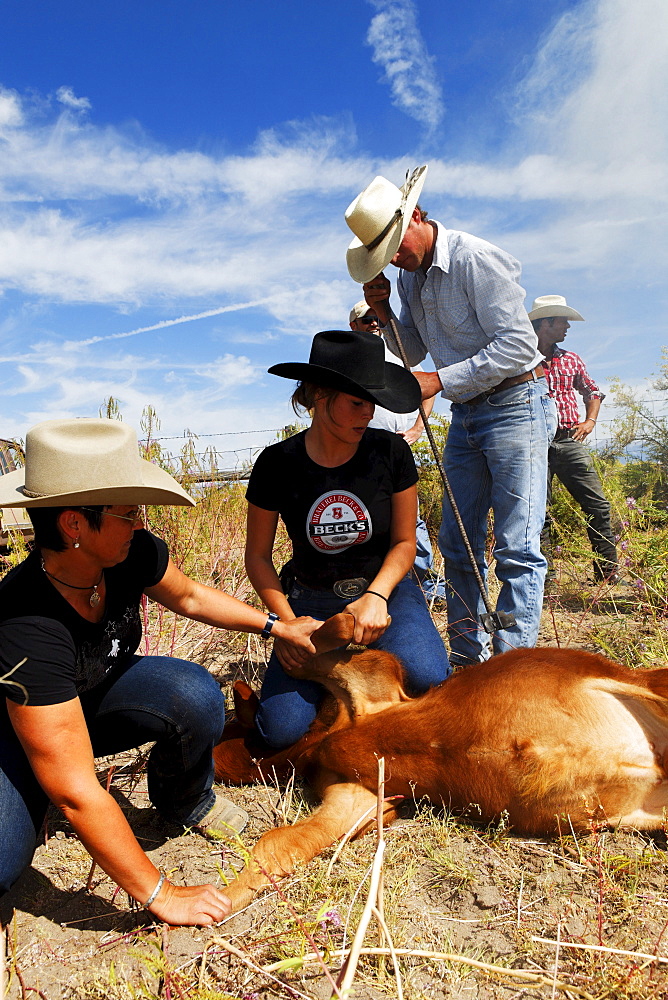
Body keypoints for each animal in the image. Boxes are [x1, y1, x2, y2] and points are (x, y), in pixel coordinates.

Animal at [215, 612, 668, 912]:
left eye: (225, 725)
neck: (318, 742)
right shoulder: (360, 799)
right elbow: (280, 847)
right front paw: (211, 904)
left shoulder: (373, 677)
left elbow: (324, 636)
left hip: (652, 682)